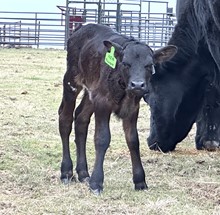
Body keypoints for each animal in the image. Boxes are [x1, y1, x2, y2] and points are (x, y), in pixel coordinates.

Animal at [58, 23, 177, 195]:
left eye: (149, 65)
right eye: (125, 64)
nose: (137, 84)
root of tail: (83, 27)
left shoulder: (132, 108)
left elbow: (133, 140)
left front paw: (140, 181)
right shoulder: (102, 103)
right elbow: (102, 138)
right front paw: (96, 183)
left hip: (92, 91)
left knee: (81, 118)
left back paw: (83, 173)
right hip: (71, 81)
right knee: (65, 119)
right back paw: (66, 172)